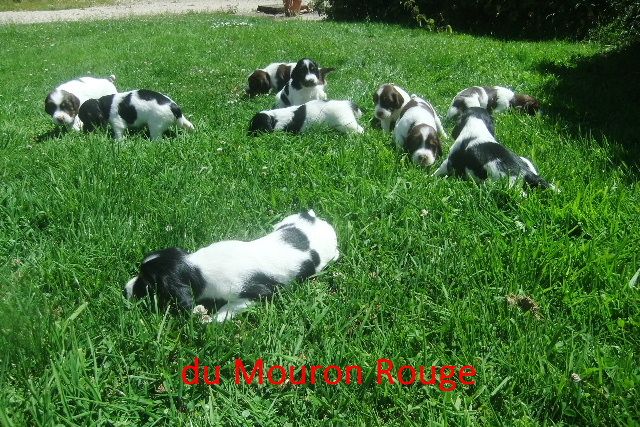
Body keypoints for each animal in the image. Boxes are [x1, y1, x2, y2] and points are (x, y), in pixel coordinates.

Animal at [124, 209, 340, 322]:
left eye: (147, 282)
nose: (125, 289)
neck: (196, 267)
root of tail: (315, 219)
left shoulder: (256, 294)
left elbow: (228, 308)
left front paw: (212, 321)